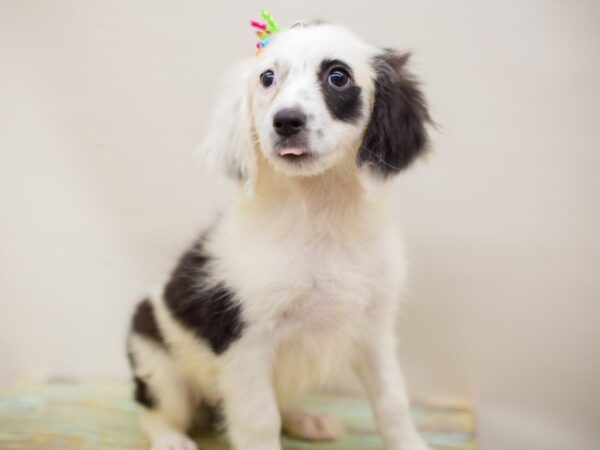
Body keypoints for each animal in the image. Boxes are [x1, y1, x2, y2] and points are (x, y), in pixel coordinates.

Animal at [127, 20, 432, 450]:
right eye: (267, 78)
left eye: (338, 77)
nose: (286, 121)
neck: (319, 217)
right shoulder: (245, 341)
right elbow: (259, 421)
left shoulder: (374, 330)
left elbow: (393, 401)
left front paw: (410, 443)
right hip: (155, 356)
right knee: (155, 411)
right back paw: (171, 439)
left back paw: (305, 419)